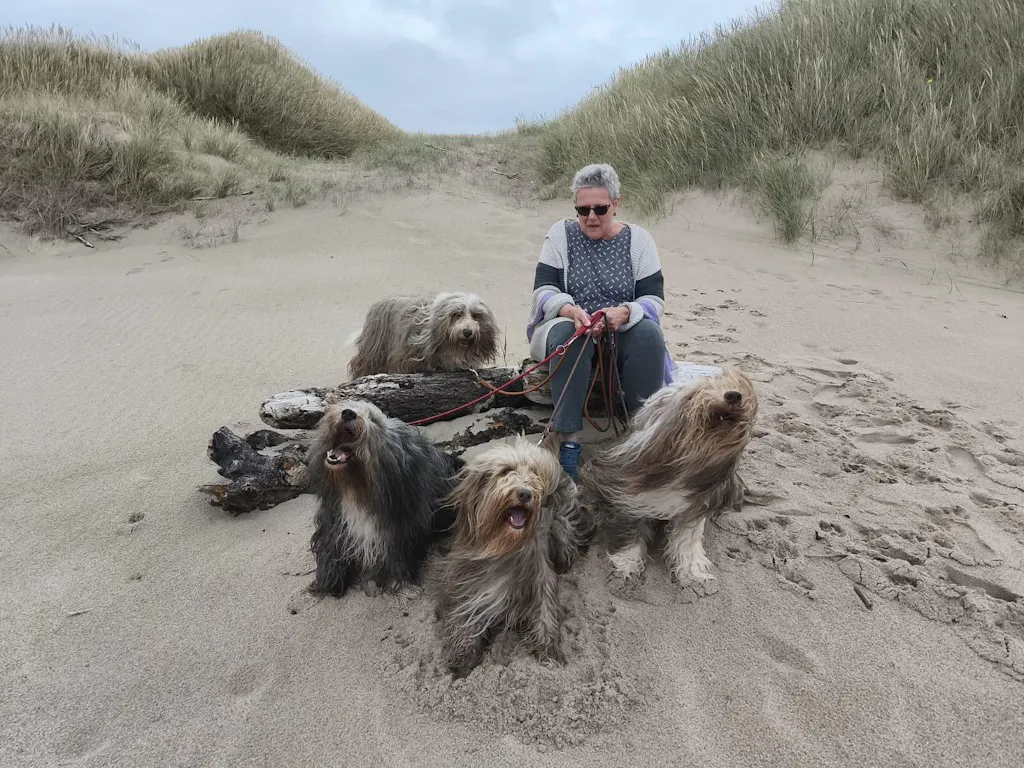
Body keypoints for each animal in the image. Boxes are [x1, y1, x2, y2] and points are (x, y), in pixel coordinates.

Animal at [306, 398, 463, 597]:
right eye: (349, 404)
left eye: (373, 420)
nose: (348, 413)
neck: (357, 488)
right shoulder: (334, 520)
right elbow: (331, 551)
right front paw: (328, 584)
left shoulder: (401, 525)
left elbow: (398, 557)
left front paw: (401, 585)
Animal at [432, 438, 593, 678]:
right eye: (506, 471)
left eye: (534, 473)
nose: (525, 493)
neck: (504, 545)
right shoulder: (467, 578)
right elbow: (464, 613)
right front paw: (463, 655)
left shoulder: (539, 575)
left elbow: (545, 611)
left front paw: (549, 652)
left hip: (564, 524)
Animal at [579, 366, 758, 590]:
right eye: (699, 390)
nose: (734, 395)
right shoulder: (631, 496)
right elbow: (633, 531)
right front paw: (626, 564)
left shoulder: (696, 504)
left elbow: (688, 538)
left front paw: (692, 572)